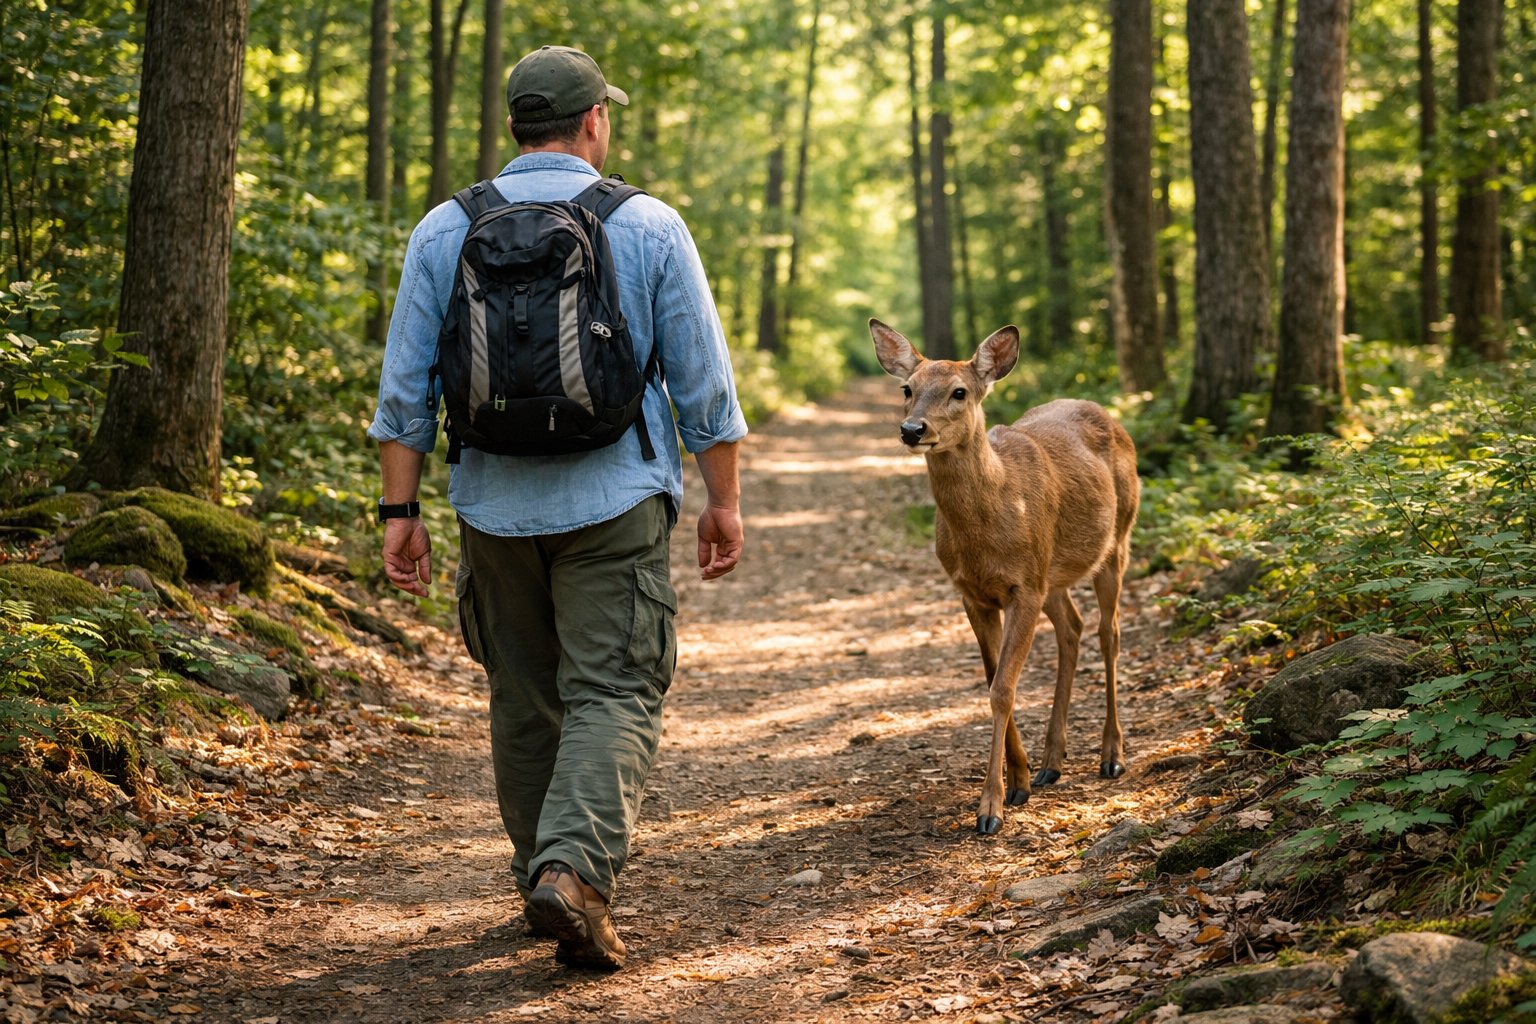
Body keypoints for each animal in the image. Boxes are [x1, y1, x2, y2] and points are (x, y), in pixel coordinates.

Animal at [869, 318, 1140, 835]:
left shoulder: (1022, 589)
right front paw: (1020, 781)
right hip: (1051, 572)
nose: (913, 429)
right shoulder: (973, 593)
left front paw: (990, 809)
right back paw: (1052, 761)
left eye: (959, 391)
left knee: (1109, 632)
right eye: (907, 389)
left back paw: (1112, 755)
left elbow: (1003, 690)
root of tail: (1108, 414)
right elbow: (993, 679)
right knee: (1072, 627)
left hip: (1117, 539)